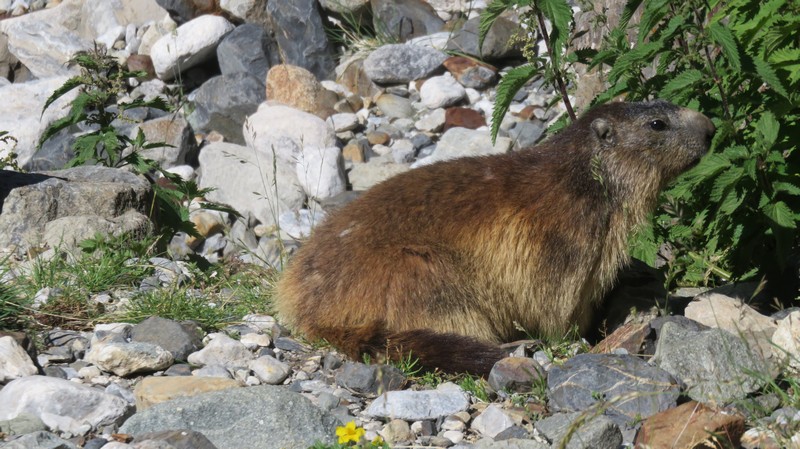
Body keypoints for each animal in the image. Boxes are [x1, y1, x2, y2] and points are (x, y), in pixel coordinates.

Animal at [274, 100, 715, 376]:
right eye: (657, 124)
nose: (711, 127)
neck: (583, 176)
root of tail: (308, 309)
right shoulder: (566, 236)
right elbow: (556, 297)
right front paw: (577, 336)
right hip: (421, 274)